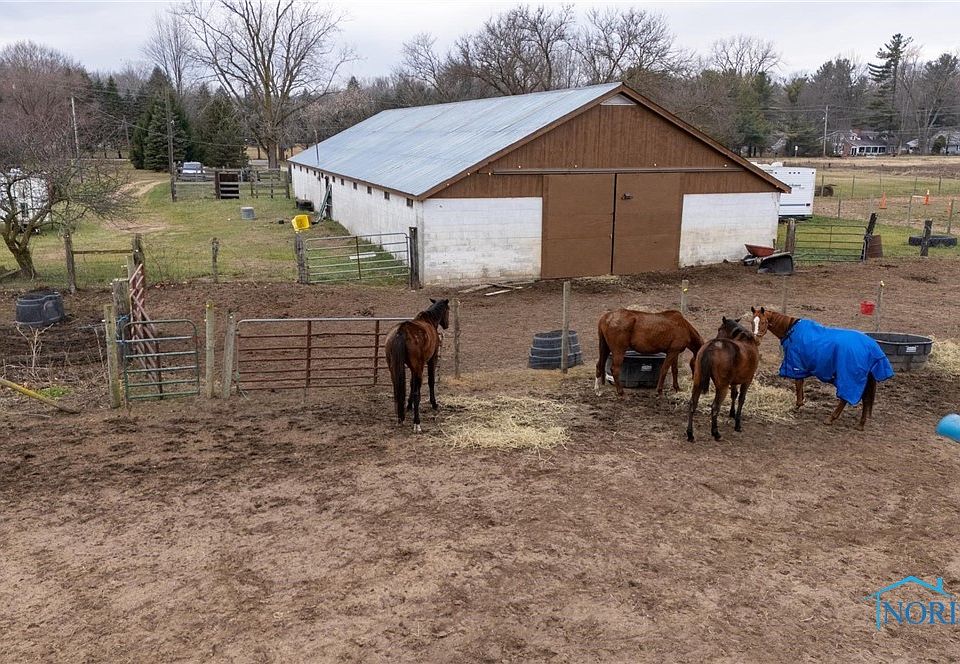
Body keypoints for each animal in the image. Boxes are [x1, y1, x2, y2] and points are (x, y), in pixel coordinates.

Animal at [385, 298, 450, 433]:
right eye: (448, 310)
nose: (447, 325)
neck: (429, 320)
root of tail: (401, 331)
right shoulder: (431, 360)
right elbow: (430, 381)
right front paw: (434, 403)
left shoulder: (412, 368)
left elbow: (410, 383)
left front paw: (409, 405)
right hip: (419, 367)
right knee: (417, 393)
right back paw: (417, 423)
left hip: (394, 367)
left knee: (397, 390)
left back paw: (400, 418)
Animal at [751, 306, 893, 430]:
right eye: (752, 322)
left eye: (763, 322)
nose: (756, 341)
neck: (791, 329)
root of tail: (872, 347)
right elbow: (801, 385)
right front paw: (801, 403)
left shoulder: (797, 366)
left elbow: (798, 384)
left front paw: (797, 406)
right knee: (865, 399)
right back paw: (860, 424)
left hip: (850, 379)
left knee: (846, 398)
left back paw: (831, 418)